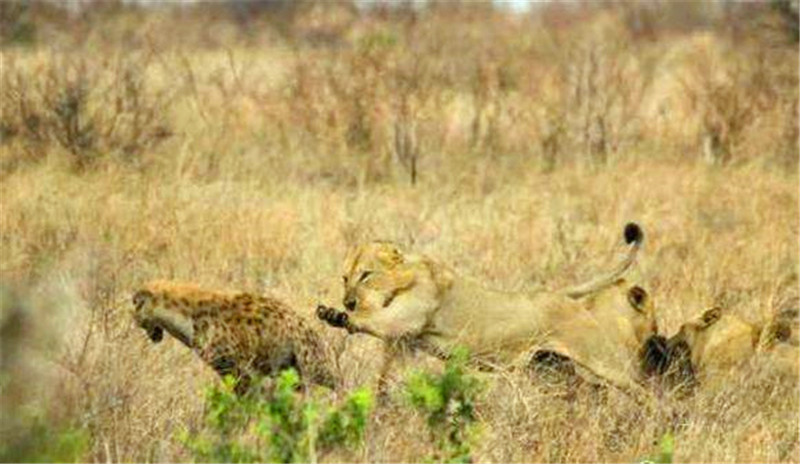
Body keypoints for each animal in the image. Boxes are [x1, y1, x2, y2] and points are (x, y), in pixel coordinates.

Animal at [316, 223, 660, 396]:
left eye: (366, 275)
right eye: (345, 278)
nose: (348, 301)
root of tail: (557, 294)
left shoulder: (406, 319)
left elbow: (371, 320)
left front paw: (335, 315)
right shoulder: (402, 344)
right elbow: (385, 376)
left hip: (603, 360)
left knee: (640, 386)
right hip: (549, 366)